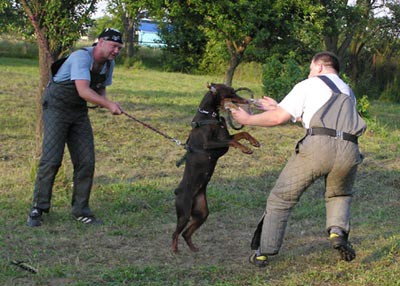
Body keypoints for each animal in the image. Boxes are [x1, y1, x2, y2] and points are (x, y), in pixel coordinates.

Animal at [171, 82, 260, 252]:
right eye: (231, 92)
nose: (247, 100)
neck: (209, 115)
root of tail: (177, 191)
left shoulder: (224, 136)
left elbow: (242, 134)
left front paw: (254, 142)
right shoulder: (210, 143)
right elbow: (234, 141)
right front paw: (245, 149)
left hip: (202, 212)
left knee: (186, 233)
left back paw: (193, 248)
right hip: (184, 211)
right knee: (175, 233)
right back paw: (175, 249)